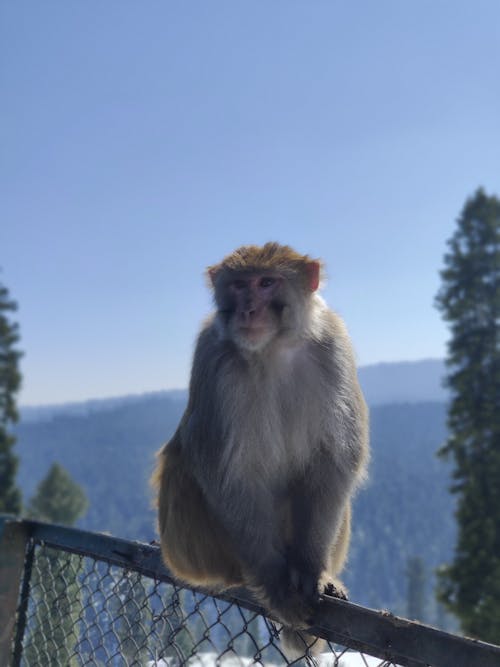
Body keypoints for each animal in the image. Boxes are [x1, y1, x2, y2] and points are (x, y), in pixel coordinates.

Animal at [151, 243, 368, 660]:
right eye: (238, 286)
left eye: (266, 283)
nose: (248, 310)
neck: (273, 348)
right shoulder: (212, 359)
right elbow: (231, 476)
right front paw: (277, 585)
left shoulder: (333, 347)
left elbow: (333, 464)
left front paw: (312, 569)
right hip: (192, 551)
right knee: (185, 464)